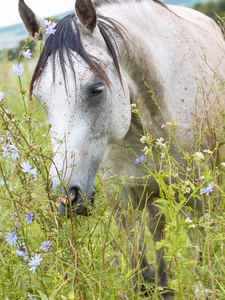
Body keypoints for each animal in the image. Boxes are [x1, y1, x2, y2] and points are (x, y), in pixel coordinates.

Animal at [18, 0, 225, 296]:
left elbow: (201, 261)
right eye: (41, 98)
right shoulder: (122, 201)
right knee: (157, 230)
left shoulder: (200, 194)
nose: (65, 197)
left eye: (96, 89)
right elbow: (141, 274)